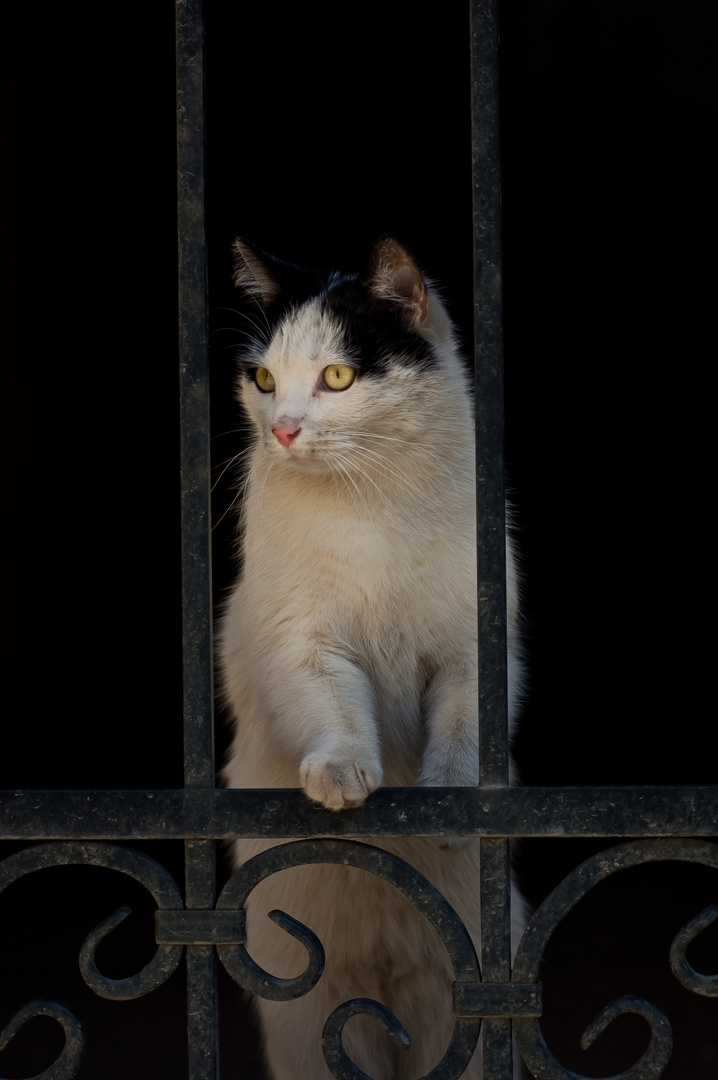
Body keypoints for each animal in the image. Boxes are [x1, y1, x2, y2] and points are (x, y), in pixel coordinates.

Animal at [217, 238, 520, 1080]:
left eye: (337, 377)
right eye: (263, 381)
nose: (283, 431)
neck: (371, 504)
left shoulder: (473, 647)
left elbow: (460, 724)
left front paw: (452, 796)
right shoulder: (299, 640)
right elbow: (332, 704)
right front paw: (343, 772)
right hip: (311, 1023)